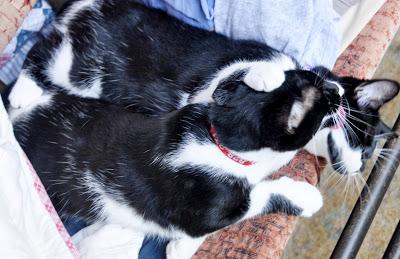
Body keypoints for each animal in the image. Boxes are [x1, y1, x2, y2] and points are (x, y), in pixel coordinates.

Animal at [8, 70, 340, 258]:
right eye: (325, 97)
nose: (337, 89)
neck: (218, 142)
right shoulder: (205, 208)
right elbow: (255, 199)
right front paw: (304, 196)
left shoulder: (192, 109)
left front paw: (267, 76)